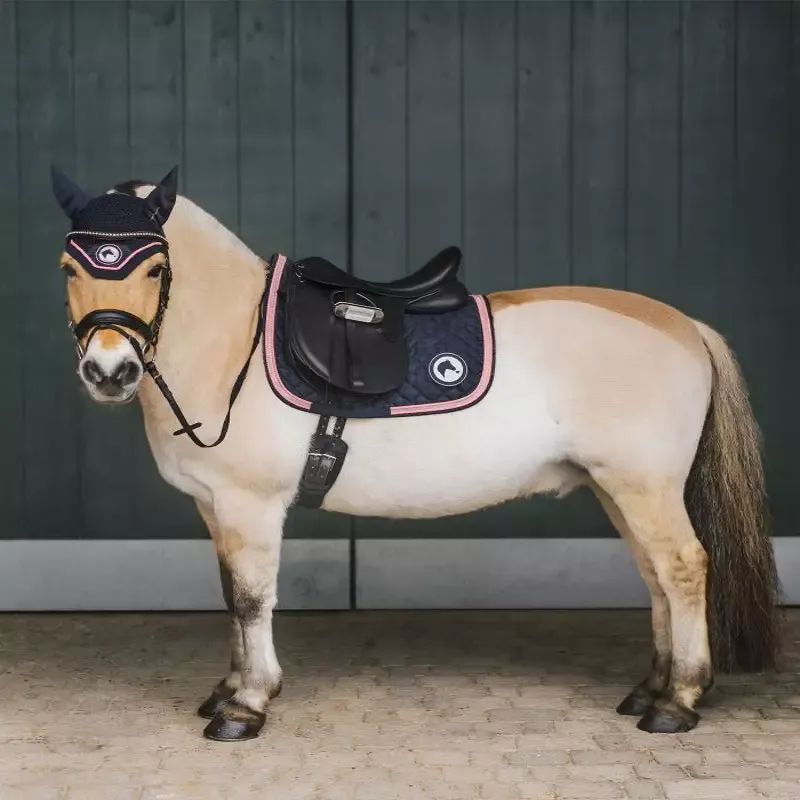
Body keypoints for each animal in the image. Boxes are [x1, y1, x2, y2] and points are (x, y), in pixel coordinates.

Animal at [50, 166, 781, 742]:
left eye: (154, 267)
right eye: (68, 267)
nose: (108, 371)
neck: (236, 344)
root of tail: (686, 326)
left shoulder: (247, 506)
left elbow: (253, 599)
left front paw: (247, 705)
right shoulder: (214, 508)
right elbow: (232, 595)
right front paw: (227, 690)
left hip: (645, 486)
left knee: (682, 569)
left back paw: (677, 702)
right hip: (616, 489)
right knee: (655, 577)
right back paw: (649, 690)